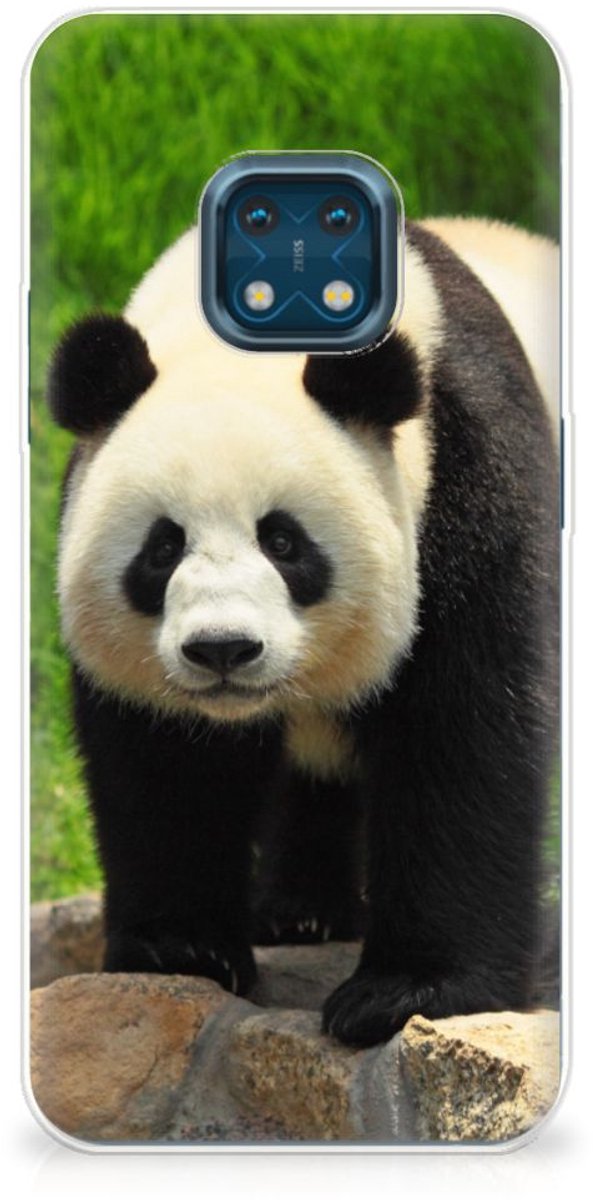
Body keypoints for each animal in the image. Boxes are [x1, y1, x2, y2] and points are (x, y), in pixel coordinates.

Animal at [47, 217, 559, 1048]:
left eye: (284, 542)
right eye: (162, 547)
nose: (222, 650)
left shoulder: (469, 478)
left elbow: (463, 732)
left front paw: (406, 992)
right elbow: (165, 763)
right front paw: (180, 949)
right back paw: (300, 911)